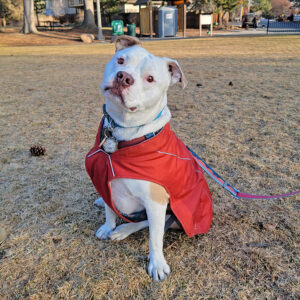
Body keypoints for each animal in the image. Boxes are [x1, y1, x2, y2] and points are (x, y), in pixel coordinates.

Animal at [85, 35, 213, 282]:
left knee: (153, 223)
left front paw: (156, 264)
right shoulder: (104, 178)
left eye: (150, 79)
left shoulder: (156, 200)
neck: (123, 132)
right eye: (121, 60)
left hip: (174, 214)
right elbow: (109, 209)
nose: (123, 77)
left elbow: (155, 236)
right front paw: (107, 225)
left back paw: (123, 230)